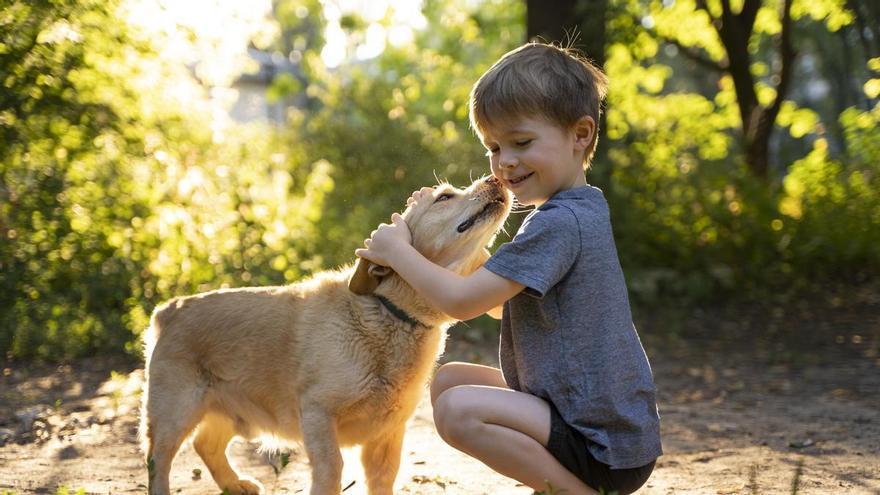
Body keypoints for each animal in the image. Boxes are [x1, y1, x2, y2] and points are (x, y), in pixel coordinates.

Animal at [140, 176, 512, 494]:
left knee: (206, 445)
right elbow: (332, 467)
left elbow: (383, 478)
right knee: (158, 461)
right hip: (175, 413)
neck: (391, 315)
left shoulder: (388, 433)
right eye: (444, 197)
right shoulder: (318, 414)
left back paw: (236, 484)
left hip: (230, 411)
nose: (497, 178)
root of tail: (170, 308)